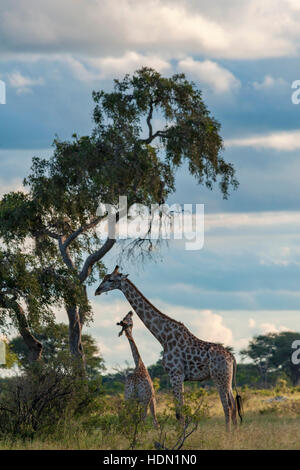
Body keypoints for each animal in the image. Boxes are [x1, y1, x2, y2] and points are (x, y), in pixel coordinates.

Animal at [95, 264, 243, 430]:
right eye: (104, 278)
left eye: (110, 280)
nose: (97, 291)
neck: (163, 337)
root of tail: (232, 357)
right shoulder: (178, 376)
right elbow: (180, 411)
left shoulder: (175, 374)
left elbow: (179, 413)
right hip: (227, 378)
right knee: (233, 405)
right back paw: (235, 433)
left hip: (219, 377)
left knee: (227, 406)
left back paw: (228, 433)